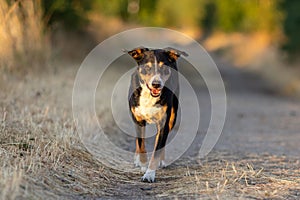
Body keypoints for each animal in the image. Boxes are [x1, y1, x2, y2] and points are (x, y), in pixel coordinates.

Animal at [125, 46, 188, 181]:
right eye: (147, 67)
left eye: (163, 68)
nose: (156, 84)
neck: (149, 96)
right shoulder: (138, 120)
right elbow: (141, 144)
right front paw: (143, 165)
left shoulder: (163, 123)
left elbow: (157, 149)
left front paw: (149, 175)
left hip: (172, 118)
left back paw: (161, 161)